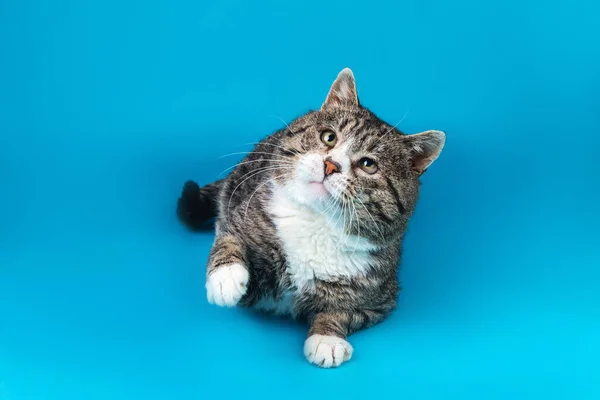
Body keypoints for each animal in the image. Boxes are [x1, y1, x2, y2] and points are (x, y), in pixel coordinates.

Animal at [176, 67, 442, 368]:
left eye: (368, 164)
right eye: (329, 137)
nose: (331, 165)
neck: (317, 223)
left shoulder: (379, 299)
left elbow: (344, 311)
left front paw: (327, 338)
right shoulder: (245, 214)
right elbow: (229, 239)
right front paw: (226, 278)